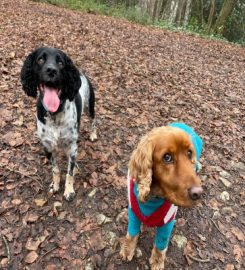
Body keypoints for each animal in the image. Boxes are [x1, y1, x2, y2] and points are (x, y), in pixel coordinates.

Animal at [20, 47, 96, 200]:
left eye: (60, 63)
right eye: (40, 59)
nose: (51, 70)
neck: (55, 114)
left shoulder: (72, 147)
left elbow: (69, 173)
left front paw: (69, 190)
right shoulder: (47, 147)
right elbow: (55, 169)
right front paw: (54, 185)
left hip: (90, 108)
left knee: (93, 122)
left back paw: (93, 134)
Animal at [120, 125, 203, 268]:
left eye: (189, 153)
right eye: (167, 157)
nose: (198, 193)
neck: (153, 197)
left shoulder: (167, 222)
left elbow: (161, 244)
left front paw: (157, 262)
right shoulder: (134, 212)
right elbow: (131, 233)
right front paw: (127, 250)